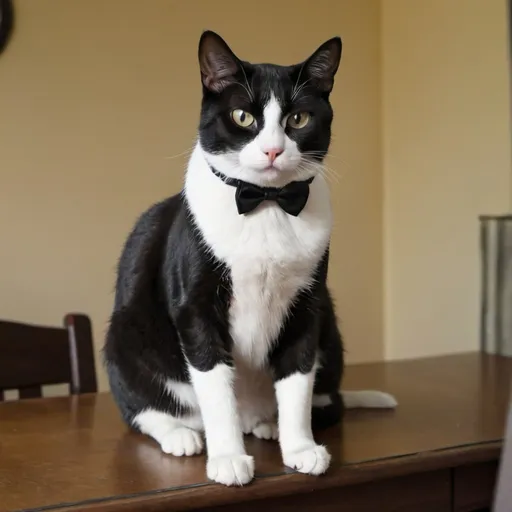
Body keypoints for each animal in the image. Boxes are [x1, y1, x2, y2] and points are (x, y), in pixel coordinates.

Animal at [104, 30, 398, 486]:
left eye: (299, 119)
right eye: (243, 116)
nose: (274, 151)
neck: (267, 204)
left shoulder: (308, 305)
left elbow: (297, 379)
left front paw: (300, 447)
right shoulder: (196, 308)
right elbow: (215, 386)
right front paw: (227, 457)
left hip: (331, 328)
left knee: (328, 402)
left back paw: (269, 424)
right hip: (124, 336)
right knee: (142, 409)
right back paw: (181, 434)